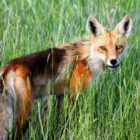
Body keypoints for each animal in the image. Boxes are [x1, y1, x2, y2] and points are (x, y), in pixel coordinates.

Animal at [0, 14, 132, 138]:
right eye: (103, 48)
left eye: (119, 47)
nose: (113, 61)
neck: (88, 58)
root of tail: (8, 66)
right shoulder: (75, 93)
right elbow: (70, 119)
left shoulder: (61, 95)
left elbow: (59, 120)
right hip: (25, 112)